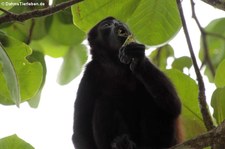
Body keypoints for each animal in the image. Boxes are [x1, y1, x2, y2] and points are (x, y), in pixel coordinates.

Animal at [73, 16, 182, 149]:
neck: (116, 65)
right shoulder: (90, 74)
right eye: (107, 25)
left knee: (153, 102)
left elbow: (174, 106)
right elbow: (80, 131)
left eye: (118, 21)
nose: (117, 24)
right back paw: (121, 143)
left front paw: (139, 61)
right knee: (104, 101)